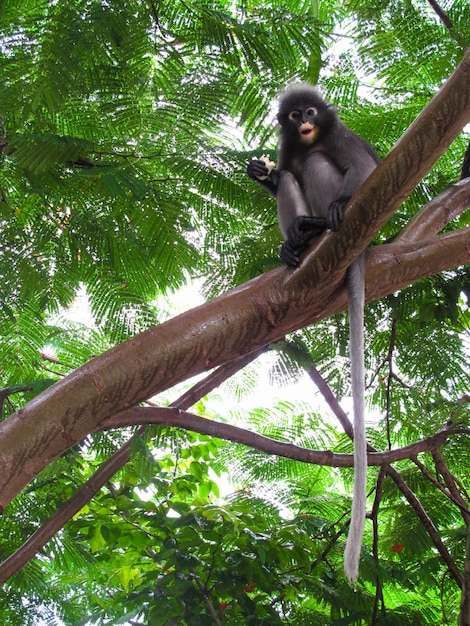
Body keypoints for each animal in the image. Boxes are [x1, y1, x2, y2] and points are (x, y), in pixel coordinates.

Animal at [248, 81, 380, 580]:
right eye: (293, 116)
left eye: (310, 111)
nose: (304, 121)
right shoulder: (289, 147)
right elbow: (283, 170)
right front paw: (261, 174)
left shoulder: (340, 135)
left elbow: (366, 166)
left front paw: (340, 202)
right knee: (292, 178)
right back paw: (298, 242)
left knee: (324, 165)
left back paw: (325, 222)